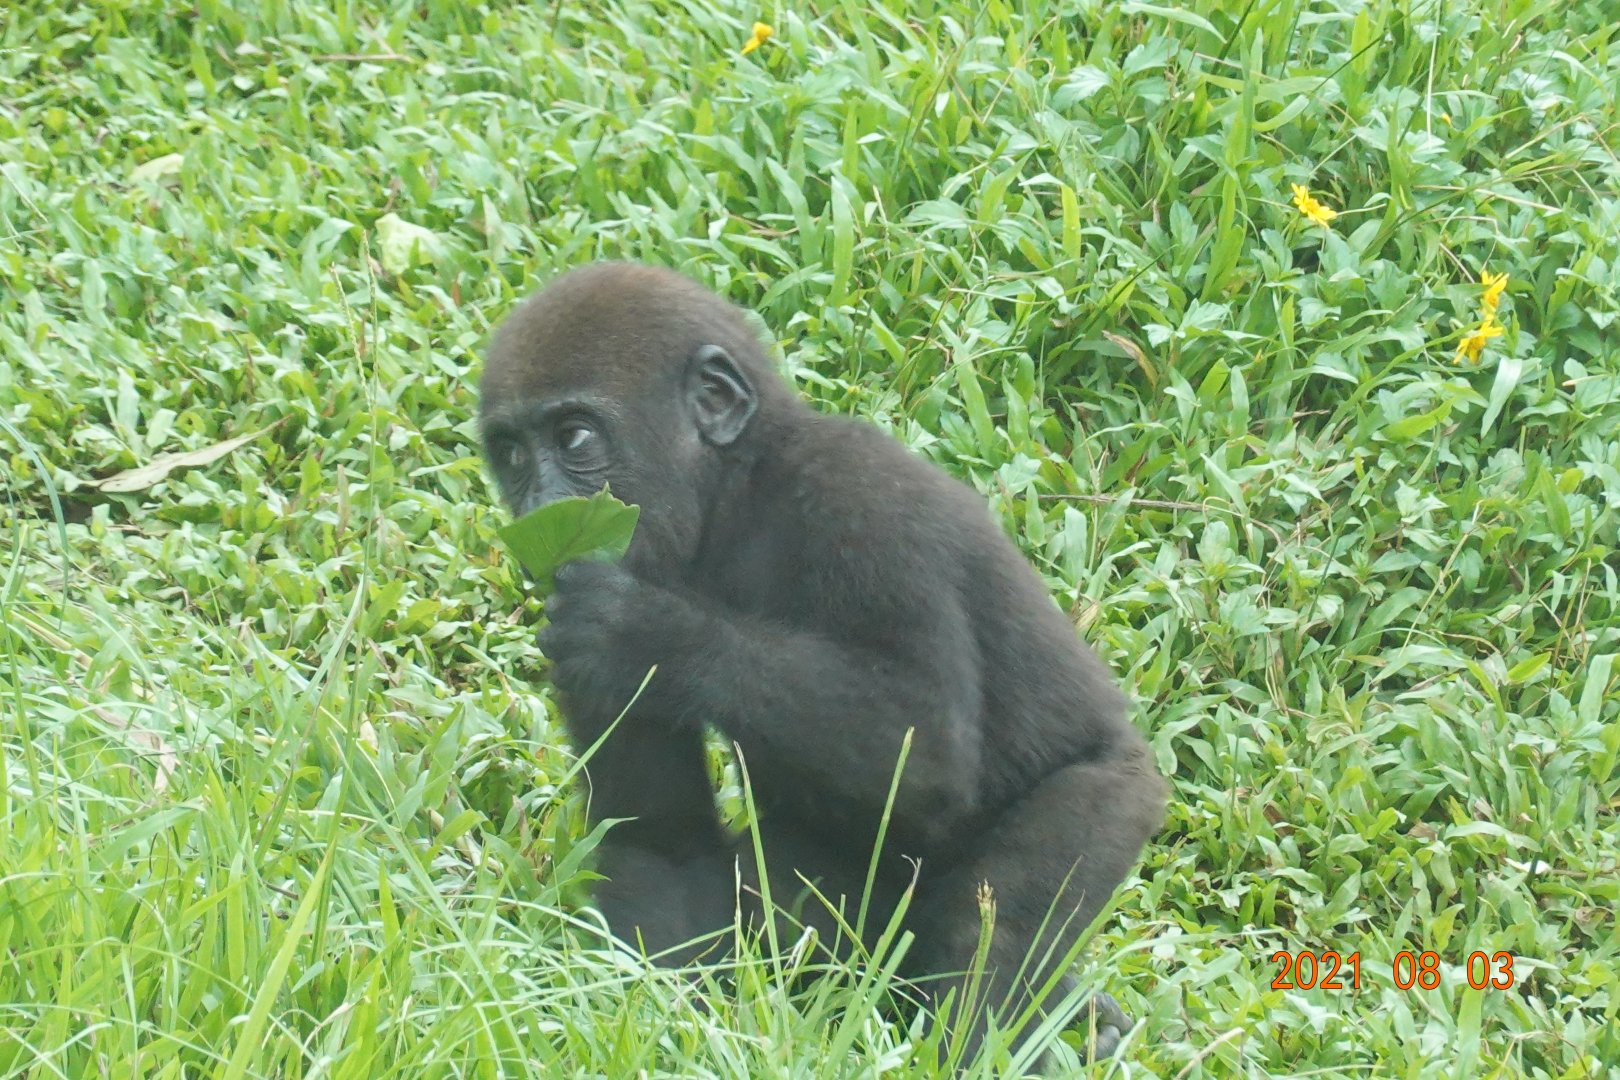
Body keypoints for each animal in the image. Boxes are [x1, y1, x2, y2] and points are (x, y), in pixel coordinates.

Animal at [478, 262, 1167, 1064]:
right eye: (512, 456)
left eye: (575, 438)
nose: (537, 509)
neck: (737, 493)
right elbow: (661, 845)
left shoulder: (860, 496)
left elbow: (927, 745)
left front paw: (645, 634)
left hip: (1113, 796)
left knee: (1005, 919)